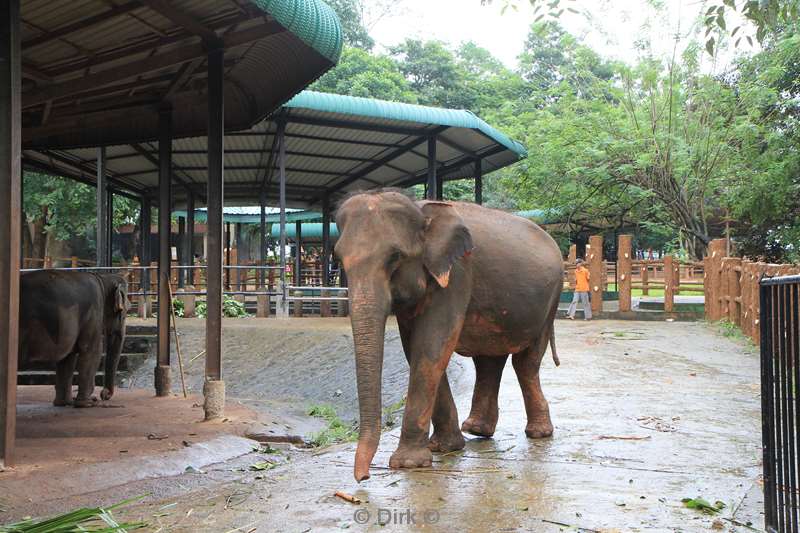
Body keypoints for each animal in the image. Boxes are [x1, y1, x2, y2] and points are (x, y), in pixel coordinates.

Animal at [19, 270, 129, 408]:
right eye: (125, 311)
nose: (103, 395)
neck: (103, 278)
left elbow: (68, 357)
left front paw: (65, 403)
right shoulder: (94, 311)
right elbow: (93, 351)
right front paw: (87, 403)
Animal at [332, 189, 564, 480]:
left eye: (395, 257)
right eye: (339, 259)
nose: (363, 477)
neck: (422, 211)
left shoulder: (458, 273)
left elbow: (431, 345)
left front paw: (409, 464)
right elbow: (415, 348)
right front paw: (445, 448)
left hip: (551, 300)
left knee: (525, 363)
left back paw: (538, 433)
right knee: (489, 359)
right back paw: (476, 430)